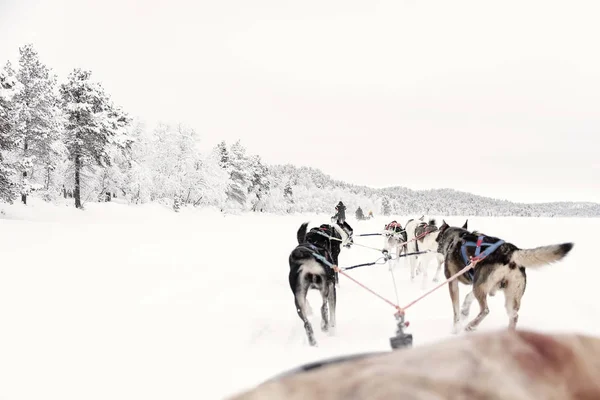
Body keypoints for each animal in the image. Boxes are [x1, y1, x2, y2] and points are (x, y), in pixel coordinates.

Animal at [436, 220, 572, 332]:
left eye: (438, 237)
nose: (436, 247)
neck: (456, 238)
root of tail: (511, 252)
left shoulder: (453, 281)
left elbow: (456, 311)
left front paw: (455, 328)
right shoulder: (480, 283)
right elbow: (469, 297)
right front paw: (465, 310)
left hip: (480, 287)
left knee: (485, 310)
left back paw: (471, 326)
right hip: (509, 297)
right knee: (514, 316)